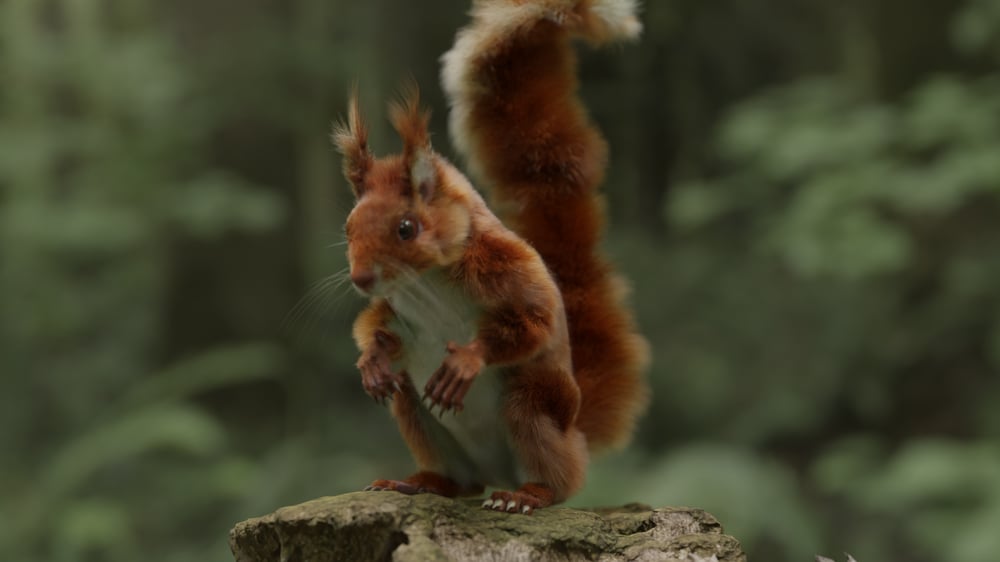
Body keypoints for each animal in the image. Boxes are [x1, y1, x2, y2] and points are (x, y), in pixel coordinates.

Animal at [333, 0, 649, 514]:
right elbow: (373, 323)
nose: (361, 277)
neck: (426, 284)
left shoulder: (509, 266)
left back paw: (524, 496)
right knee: (457, 480)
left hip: (531, 406)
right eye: (348, 228)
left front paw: (466, 361)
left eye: (406, 228)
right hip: (415, 411)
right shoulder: (394, 306)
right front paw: (372, 362)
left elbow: (535, 321)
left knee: (555, 483)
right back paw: (416, 482)